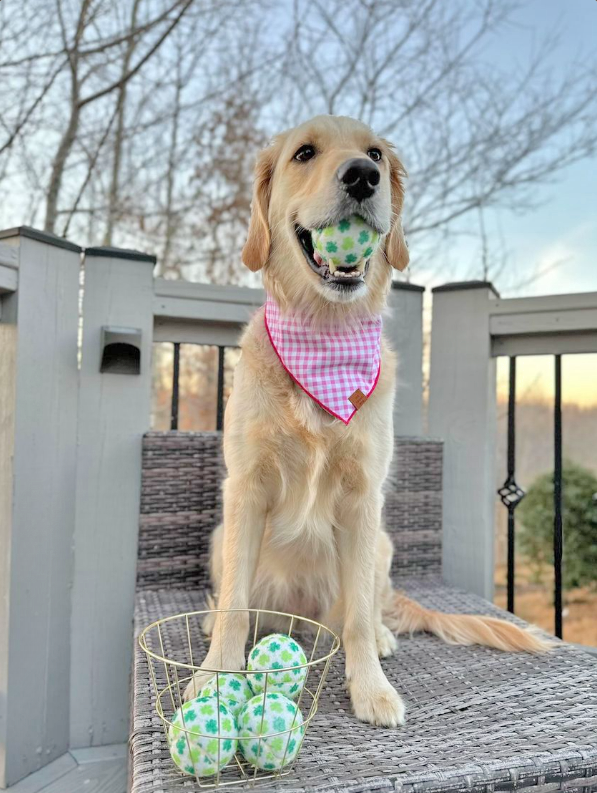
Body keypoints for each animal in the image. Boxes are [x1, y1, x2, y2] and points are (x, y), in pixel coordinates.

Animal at [185, 114, 548, 728]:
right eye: (304, 153)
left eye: (375, 153)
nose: (362, 176)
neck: (326, 335)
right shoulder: (246, 487)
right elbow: (235, 602)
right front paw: (214, 679)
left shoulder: (362, 497)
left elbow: (355, 612)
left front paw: (371, 687)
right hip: (222, 534)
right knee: (243, 602)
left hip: (381, 543)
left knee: (360, 609)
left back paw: (379, 635)